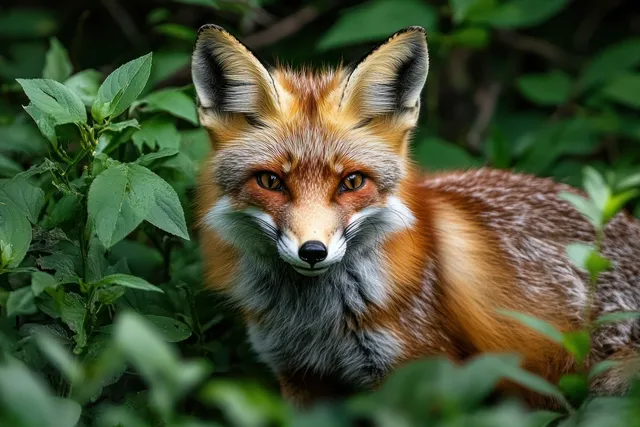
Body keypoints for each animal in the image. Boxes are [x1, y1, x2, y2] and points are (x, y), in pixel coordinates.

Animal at [191, 24, 640, 408]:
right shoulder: (297, 374)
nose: (313, 252)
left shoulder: (417, 373)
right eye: (271, 181)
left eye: (352, 182)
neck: (314, 323)